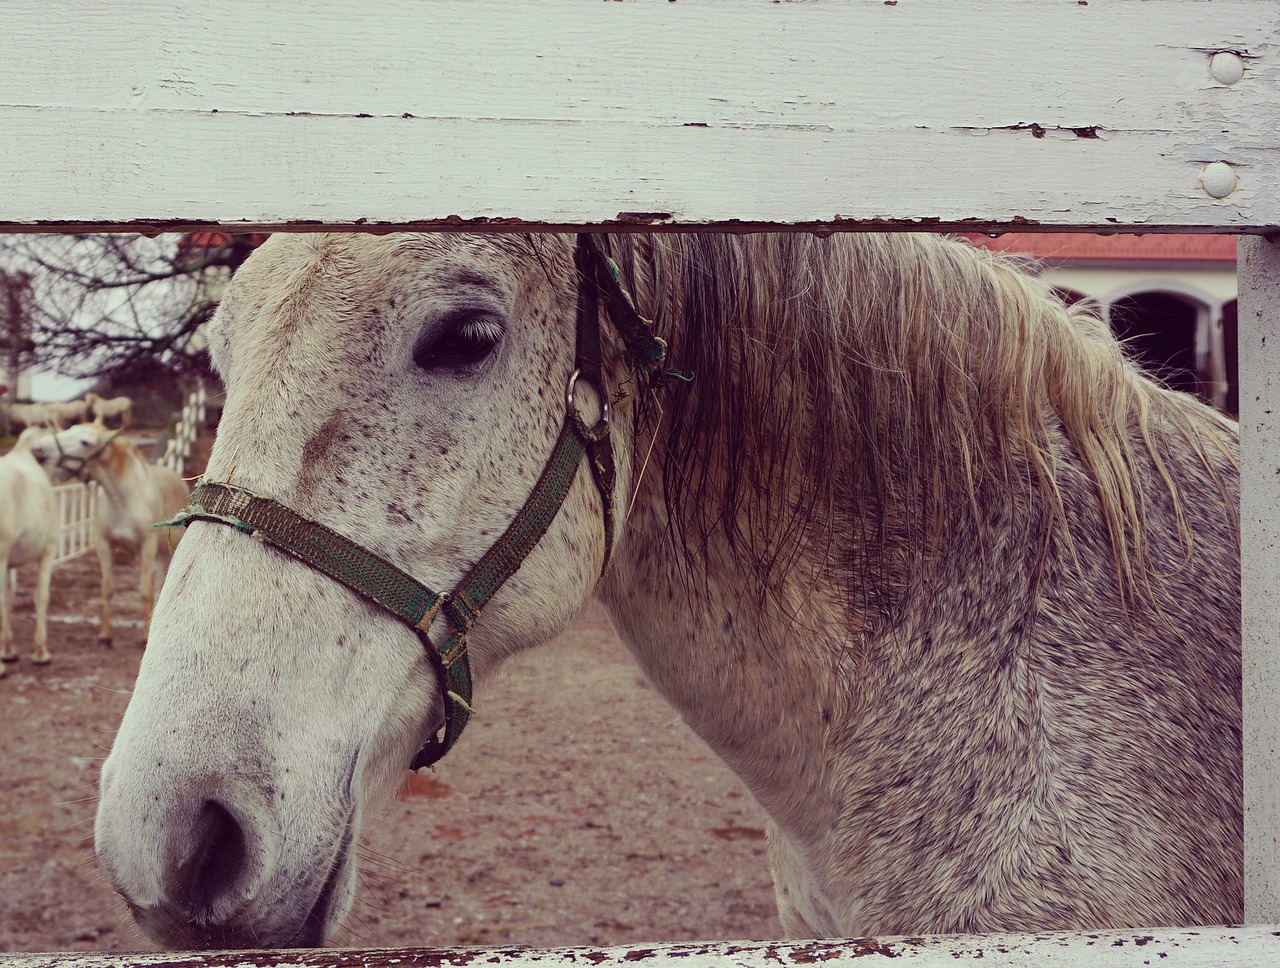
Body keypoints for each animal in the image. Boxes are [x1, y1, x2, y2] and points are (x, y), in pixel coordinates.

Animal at [32, 422, 188, 642]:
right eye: (69, 429)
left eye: (85, 442)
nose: (38, 449)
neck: (124, 500)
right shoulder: (104, 545)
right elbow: (107, 588)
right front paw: (105, 635)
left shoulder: (146, 547)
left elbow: (145, 591)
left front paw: (144, 636)